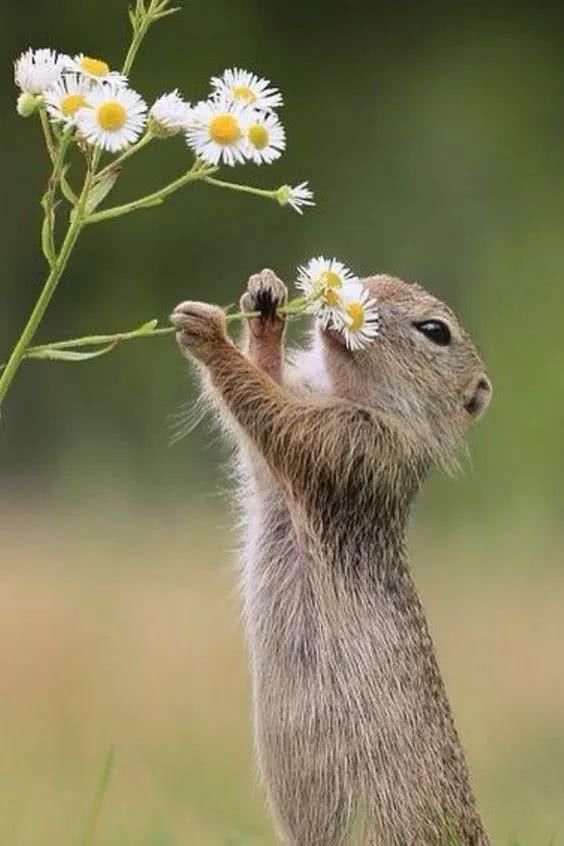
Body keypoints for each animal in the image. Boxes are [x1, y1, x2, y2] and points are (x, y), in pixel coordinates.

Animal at [170, 270, 492, 846]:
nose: (352, 290)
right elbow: (262, 422)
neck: (351, 392)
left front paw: (208, 334)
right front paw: (265, 305)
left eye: (436, 331)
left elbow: (270, 411)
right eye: (380, 277)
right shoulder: (288, 469)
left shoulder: (353, 447)